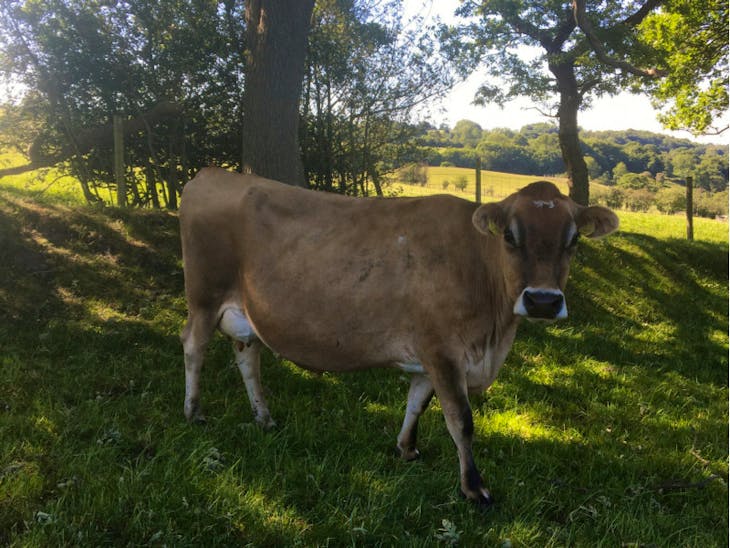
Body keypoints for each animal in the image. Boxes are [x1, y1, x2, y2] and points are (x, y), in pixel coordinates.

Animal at [179, 167, 618, 505]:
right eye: (510, 236)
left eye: (573, 240)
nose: (543, 300)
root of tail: (211, 174)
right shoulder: (443, 351)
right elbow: (461, 420)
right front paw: (474, 488)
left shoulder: (429, 354)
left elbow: (417, 404)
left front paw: (407, 449)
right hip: (204, 296)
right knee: (193, 347)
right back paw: (194, 411)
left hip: (246, 312)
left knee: (246, 355)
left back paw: (264, 418)